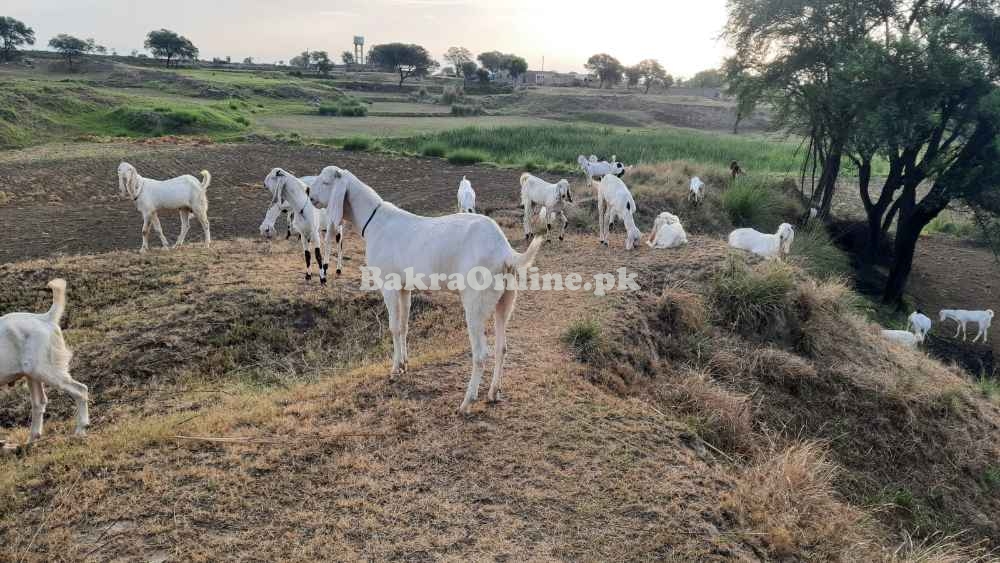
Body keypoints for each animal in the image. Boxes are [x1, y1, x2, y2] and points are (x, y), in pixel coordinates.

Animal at [0, 280, 90, 442]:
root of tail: (45, 319)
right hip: (32, 375)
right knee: (39, 402)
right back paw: (31, 440)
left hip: (44, 371)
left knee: (80, 390)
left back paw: (80, 430)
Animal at [314, 165, 544, 412]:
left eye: (326, 182)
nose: (309, 194)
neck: (375, 221)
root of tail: (504, 251)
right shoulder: (404, 287)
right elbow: (404, 326)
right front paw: (404, 364)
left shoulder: (389, 285)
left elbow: (393, 327)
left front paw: (394, 370)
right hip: (506, 298)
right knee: (502, 347)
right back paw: (493, 393)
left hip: (477, 301)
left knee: (481, 353)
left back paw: (467, 401)